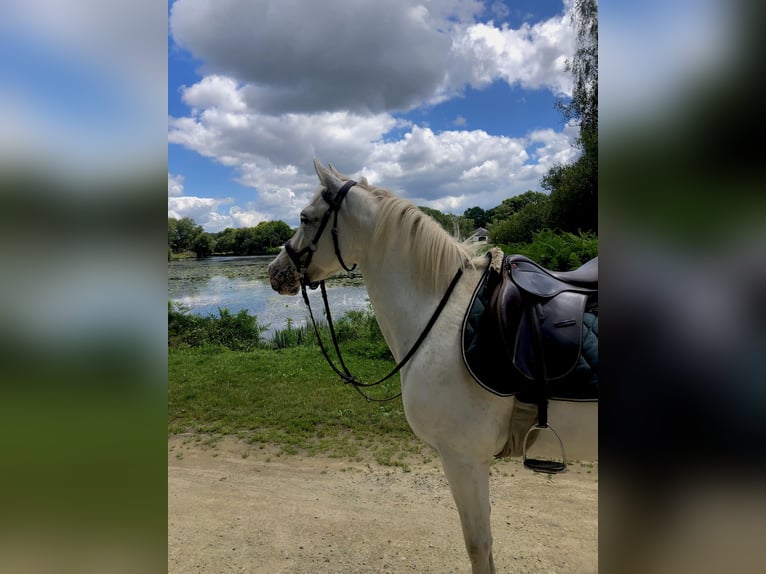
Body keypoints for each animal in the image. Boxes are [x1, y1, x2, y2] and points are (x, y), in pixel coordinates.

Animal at [270, 161, 600, 574]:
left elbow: (478, 546)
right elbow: (486, 547)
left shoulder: (462, 459)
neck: (441, 313)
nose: (275, 271)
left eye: (305, 217)